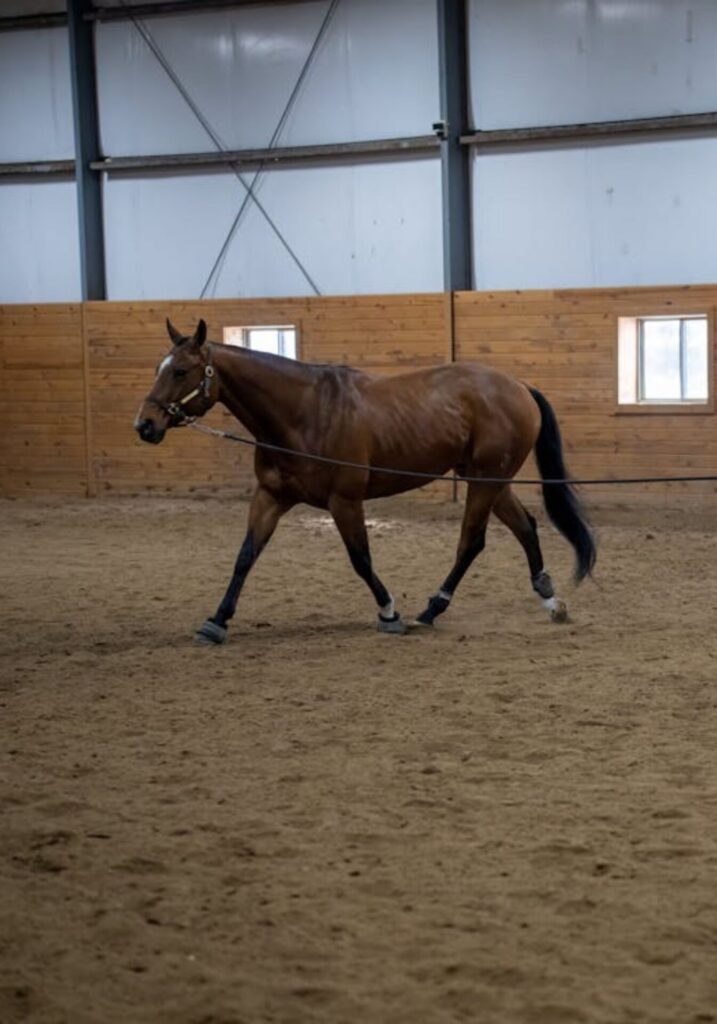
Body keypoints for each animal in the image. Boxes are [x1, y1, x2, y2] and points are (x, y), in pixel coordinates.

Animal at [135, 318, 596, 644]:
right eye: (159, 367)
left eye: (180, 371)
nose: (145, 425)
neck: (304, 413)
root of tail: (518, 386)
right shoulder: (270, 497)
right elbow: (246, 556)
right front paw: (217, 620)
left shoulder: (344, 500)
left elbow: (361, 560)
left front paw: (389, 612)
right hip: (488, 479)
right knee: (525, 527)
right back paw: (550, 600)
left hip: (484, 480)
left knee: (471, 541)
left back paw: (430, 610)